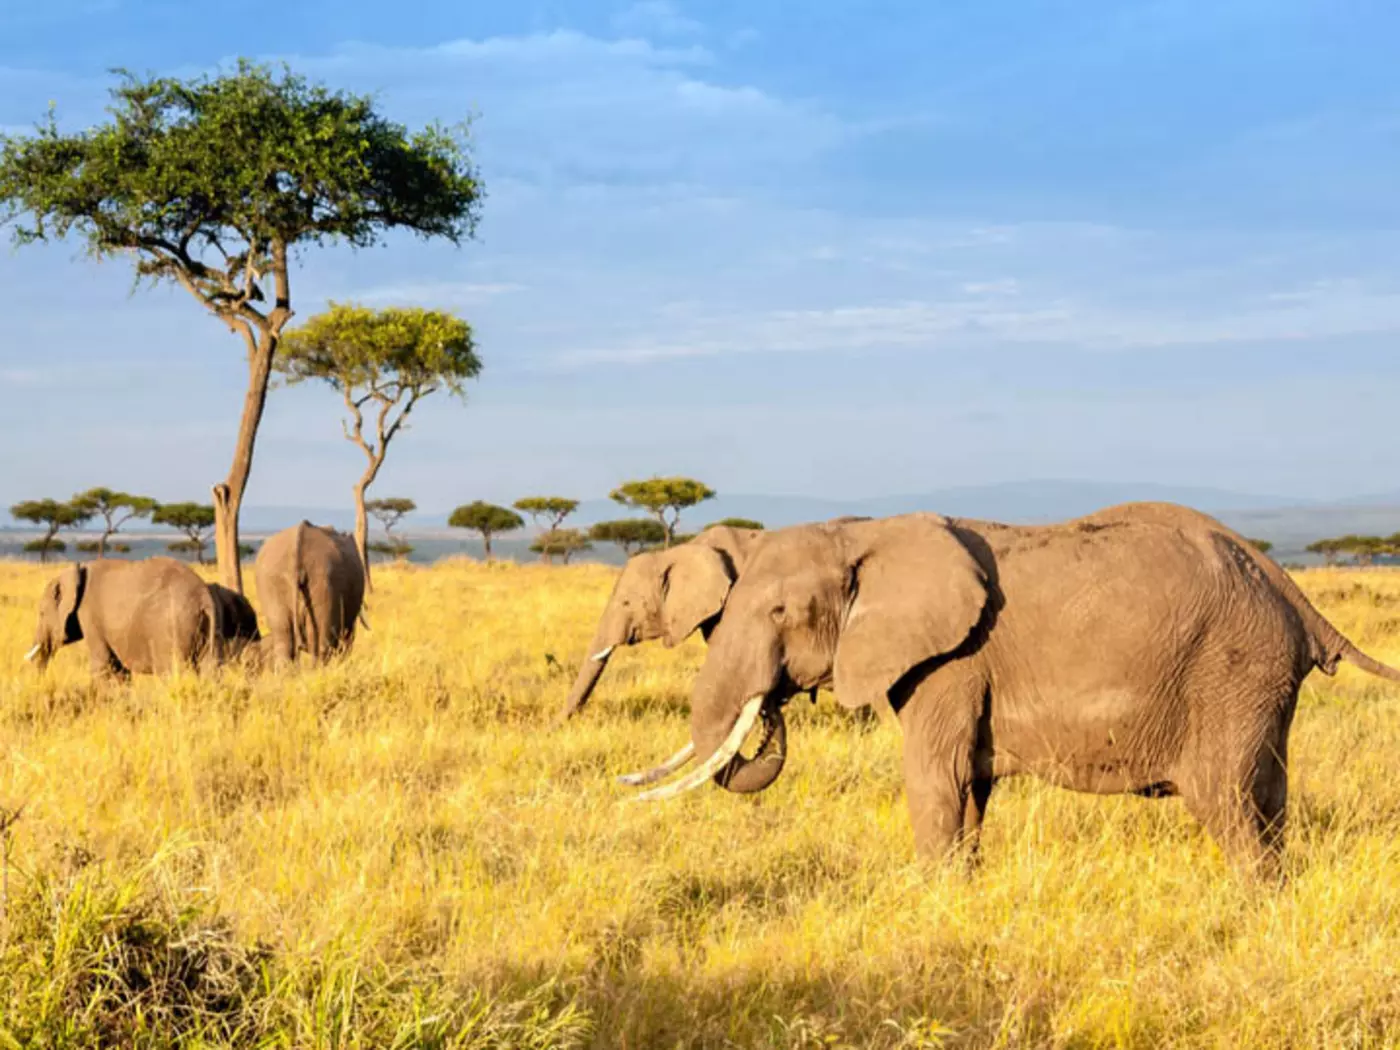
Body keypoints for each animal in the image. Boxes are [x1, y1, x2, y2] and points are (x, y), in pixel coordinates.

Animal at [23, 557, 221, 677]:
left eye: (41, 613)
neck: (78, 570)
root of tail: (204, 598)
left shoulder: (89, 614)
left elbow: (104, 664)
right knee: (209, 671)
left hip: (172, 627)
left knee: (172, 672)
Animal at [621, 506, 1400, 874]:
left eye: (781, 612)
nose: (775, 703)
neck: (868, 531)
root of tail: (1293, 592)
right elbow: (969, 789)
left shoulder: (952, 662)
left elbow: (935, 779)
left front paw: (933, 898)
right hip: (1258, 681)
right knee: (1268, 799)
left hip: (1232, 669)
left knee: (1227, 802)